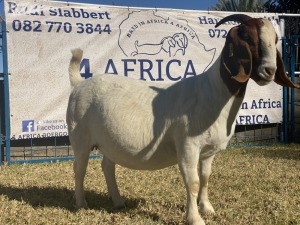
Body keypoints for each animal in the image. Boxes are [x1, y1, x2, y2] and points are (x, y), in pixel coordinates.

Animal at [66, 14, 298, 225]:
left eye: (275, 39)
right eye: (248, 38)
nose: (269, 71)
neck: (212, 92)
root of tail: (78, 83)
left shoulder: (208, 151)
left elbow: (205, 177)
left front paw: (207, 208)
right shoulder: (188, 145)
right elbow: (193, 182)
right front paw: (195, 218)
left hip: (109, 141)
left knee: (107, 166)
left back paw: (118, 201)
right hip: (80, 138)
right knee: (79, 169)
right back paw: (81, 203)